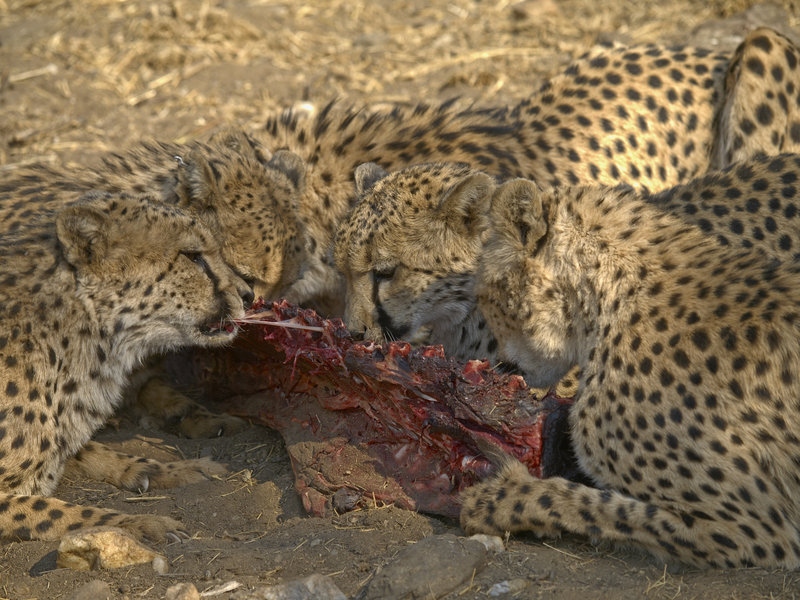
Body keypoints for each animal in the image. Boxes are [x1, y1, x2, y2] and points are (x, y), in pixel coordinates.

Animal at [0, 190, 253, 542]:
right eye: (192, 257)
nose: (249, 295)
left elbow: (90, 450)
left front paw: (176, 468)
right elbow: (57, 512)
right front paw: (142, 523)